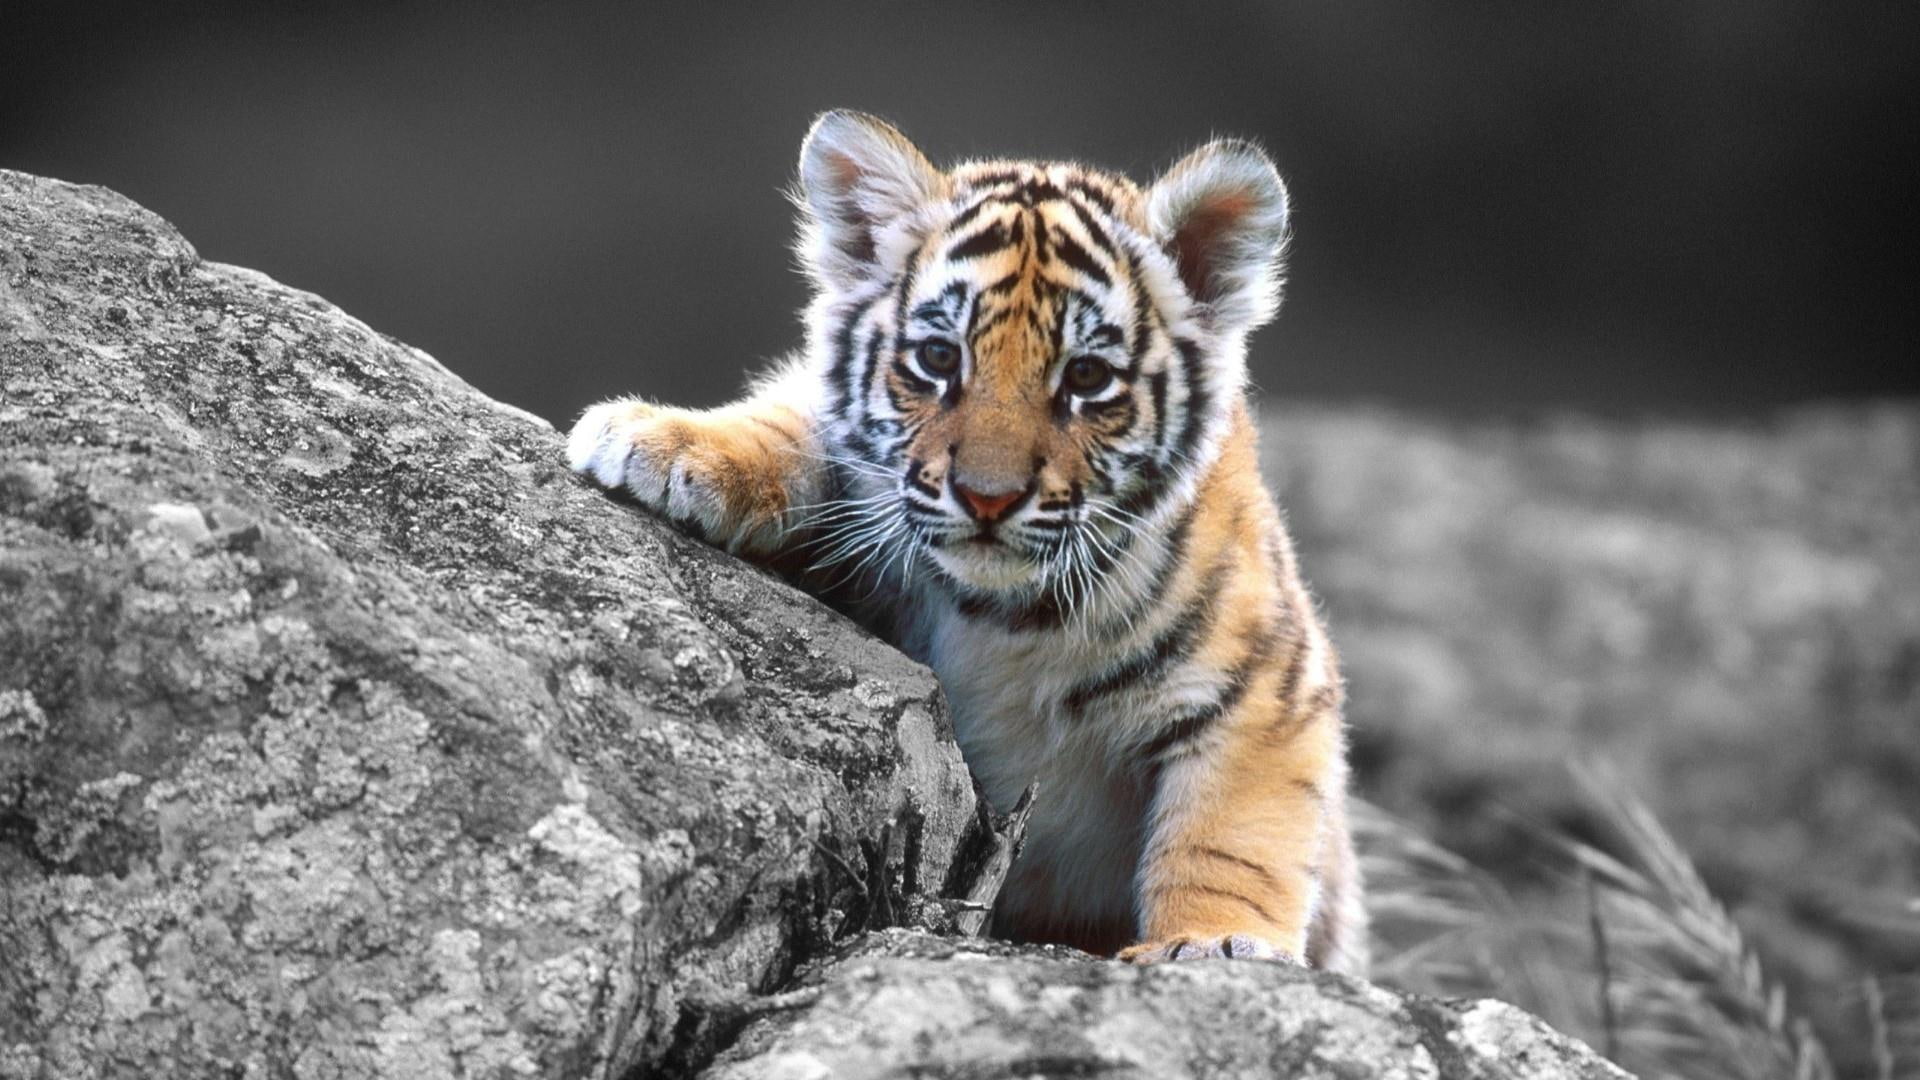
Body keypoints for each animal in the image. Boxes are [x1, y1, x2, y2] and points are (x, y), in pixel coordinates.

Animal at [569, 110, 1365, 973]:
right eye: (938, 358)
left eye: (1087, 378)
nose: (988, 496)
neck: (1005, 617)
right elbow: (795, 423)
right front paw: (662, 441)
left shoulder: (1268, 689)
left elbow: (1230, 837)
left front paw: (1214, 944)